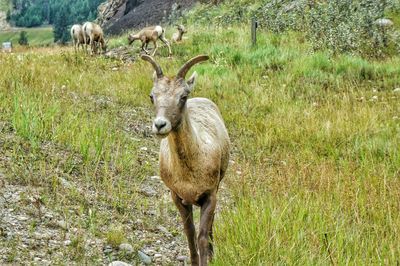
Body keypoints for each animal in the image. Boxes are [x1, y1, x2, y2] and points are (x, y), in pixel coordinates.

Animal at [141, 54, 230, 266]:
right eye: (152, 96)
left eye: (183, 96)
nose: (160, 125)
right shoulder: (177, 197)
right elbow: (190, 234)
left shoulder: (209, 196)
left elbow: (202, 237)